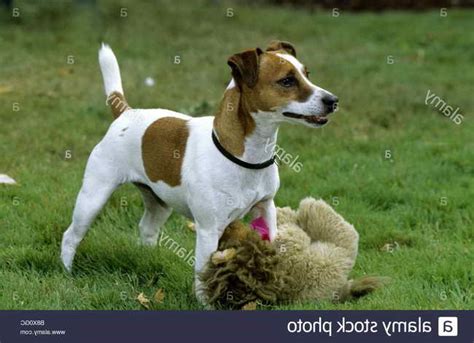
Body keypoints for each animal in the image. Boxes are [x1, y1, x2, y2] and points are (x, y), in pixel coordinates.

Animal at [61, 41, 338, 302]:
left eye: (307, 74)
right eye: (287, 80)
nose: (333, 101)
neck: (245, 156)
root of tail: (126, 113)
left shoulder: (266, 209)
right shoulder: (208, 230)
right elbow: (204, 274)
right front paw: (207, 302)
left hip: (159, 202)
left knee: (147, 229)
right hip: (93, 198)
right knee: (71, 236)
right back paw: (67, 273)